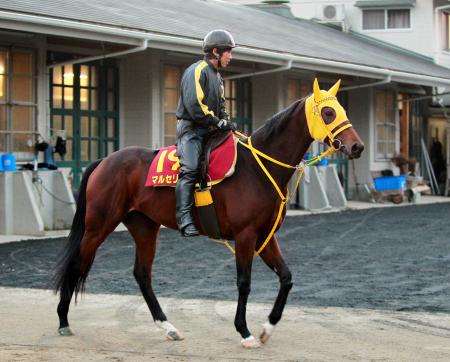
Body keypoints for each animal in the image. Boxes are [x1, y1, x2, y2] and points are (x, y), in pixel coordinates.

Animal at [53, 78, 362, 348]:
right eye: (328, 112)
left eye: (343, 110)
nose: (357, 146)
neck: (257, 167)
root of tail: (105, 160)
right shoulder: (246, 237)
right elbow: (244, 283)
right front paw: (244, 331)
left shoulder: (265, 237)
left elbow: (286, 278)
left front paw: (267, 327)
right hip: (99, 226)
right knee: (77, 263)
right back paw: (63, 320)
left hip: (144, 228)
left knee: (142, 275)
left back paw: (168, 327)